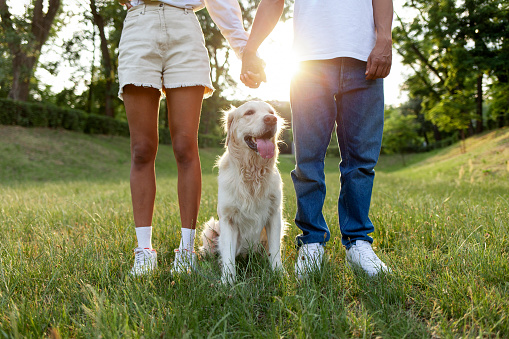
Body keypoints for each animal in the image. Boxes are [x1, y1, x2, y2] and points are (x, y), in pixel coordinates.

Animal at [199, 101, 286, 284]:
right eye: (249, 113)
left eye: (271, 112)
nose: (271, 119)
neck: (252, 173)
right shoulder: (227, 218)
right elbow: (228, 254)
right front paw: (228, 281)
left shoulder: (275, 214)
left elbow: (275, 249)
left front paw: (279, 274)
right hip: (212, 227)